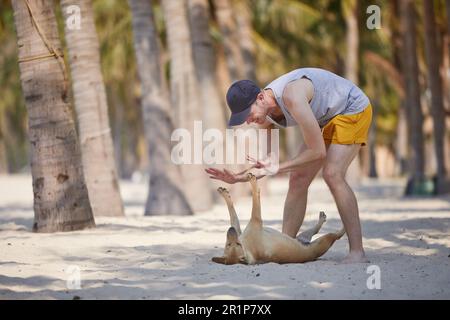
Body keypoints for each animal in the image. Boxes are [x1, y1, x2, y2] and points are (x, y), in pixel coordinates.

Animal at [213, 174, 346, 264]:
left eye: (229, 244)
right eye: (234, 244)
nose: (230, 230)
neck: (247, 247)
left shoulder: (238, 229)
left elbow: (232, 213)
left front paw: (225, 194)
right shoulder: (256, 219)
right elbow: (255, 198)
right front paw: (253, 183)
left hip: (301, 236)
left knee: (314, 230)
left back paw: (322, 219)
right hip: (324, 241)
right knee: (335, 236)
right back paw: (343, 227)